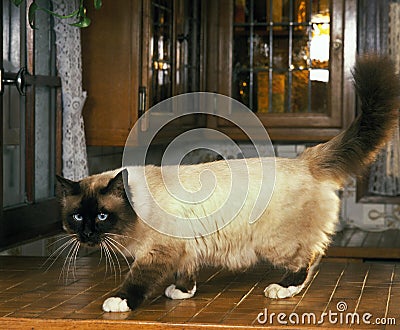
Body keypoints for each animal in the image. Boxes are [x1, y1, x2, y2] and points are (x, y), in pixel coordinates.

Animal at [56, 56, 400, 312]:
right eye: (77, 216)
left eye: (102, 216)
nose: (86, 234)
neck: (136, 212)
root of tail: (304, 160)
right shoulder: (185, 250)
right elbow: (186, 273)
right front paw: (182, 292)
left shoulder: (157, 253)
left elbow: (137, 281)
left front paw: (118, 302)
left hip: (274, 243)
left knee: (311, 257)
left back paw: (282, 289)